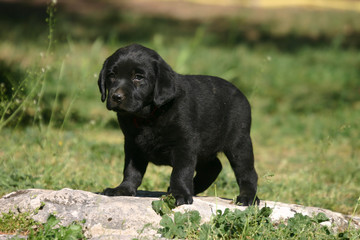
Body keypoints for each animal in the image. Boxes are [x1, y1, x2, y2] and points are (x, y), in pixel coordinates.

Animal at [97, 44, 258, 205]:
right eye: (112, 75)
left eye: (138, 77)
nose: (116, 97)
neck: (149, 115)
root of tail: (241, 94)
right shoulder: (132, 144)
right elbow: (131, 170)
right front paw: (123, 189)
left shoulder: (185, 144)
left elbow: (181, 172)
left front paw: (179, 194)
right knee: (213, 167)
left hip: (239, 143)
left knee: (247, 173)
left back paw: (247, 198)